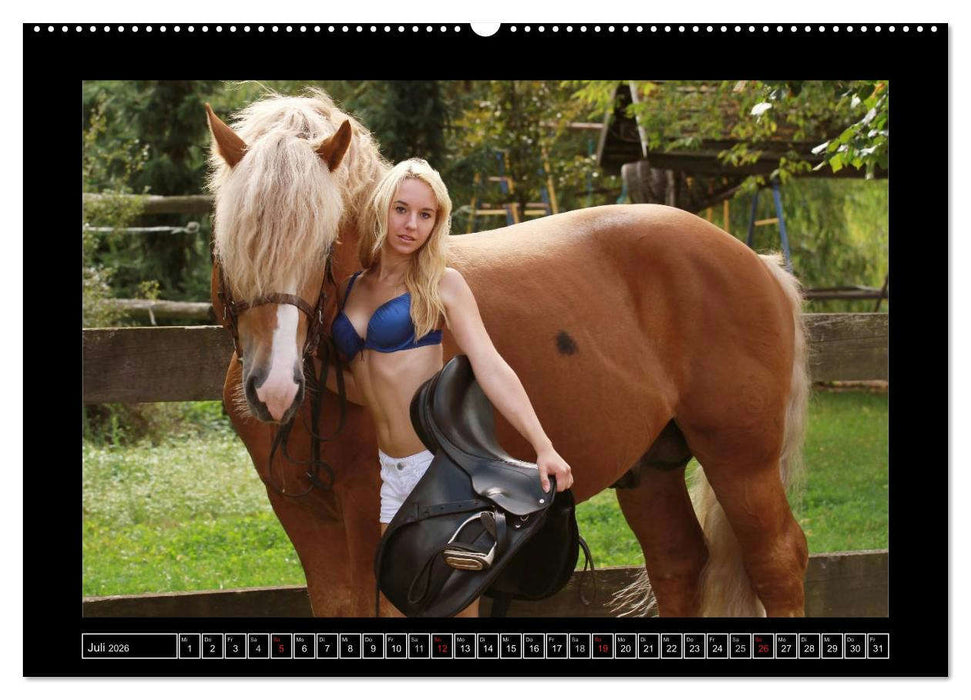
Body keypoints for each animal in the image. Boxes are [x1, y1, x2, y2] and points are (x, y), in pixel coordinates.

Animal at [205, 89, 810, 618]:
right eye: (229, 241)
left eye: (324, 246)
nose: (275, 389)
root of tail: (755, 261)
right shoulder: (304, 517)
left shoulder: (369, 514)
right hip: (649, 470)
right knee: (678, 562)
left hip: (741, 462)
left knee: (777, 561)